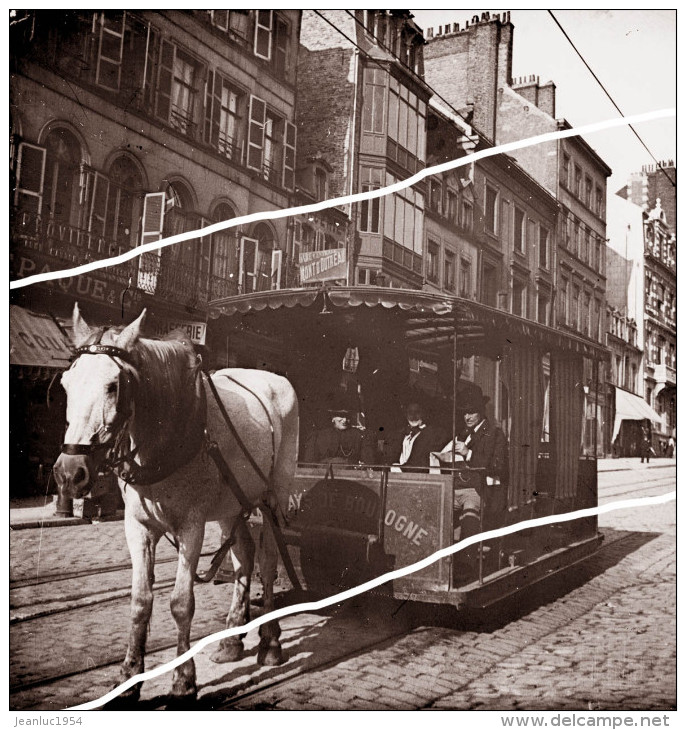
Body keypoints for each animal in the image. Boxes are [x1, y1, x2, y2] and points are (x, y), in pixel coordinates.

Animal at [52, 304, 300, 704]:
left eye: (114, 386)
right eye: (66, 384)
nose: (69, 473)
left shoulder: (191, 527)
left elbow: (181, 603)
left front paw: (183, 680)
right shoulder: (137, 527)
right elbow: (140, 600)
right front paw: (128, 678)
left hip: (271, 498)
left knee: (267, 562)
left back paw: (271, 642)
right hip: (231, 505)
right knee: (243, 557)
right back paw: (231, 640)